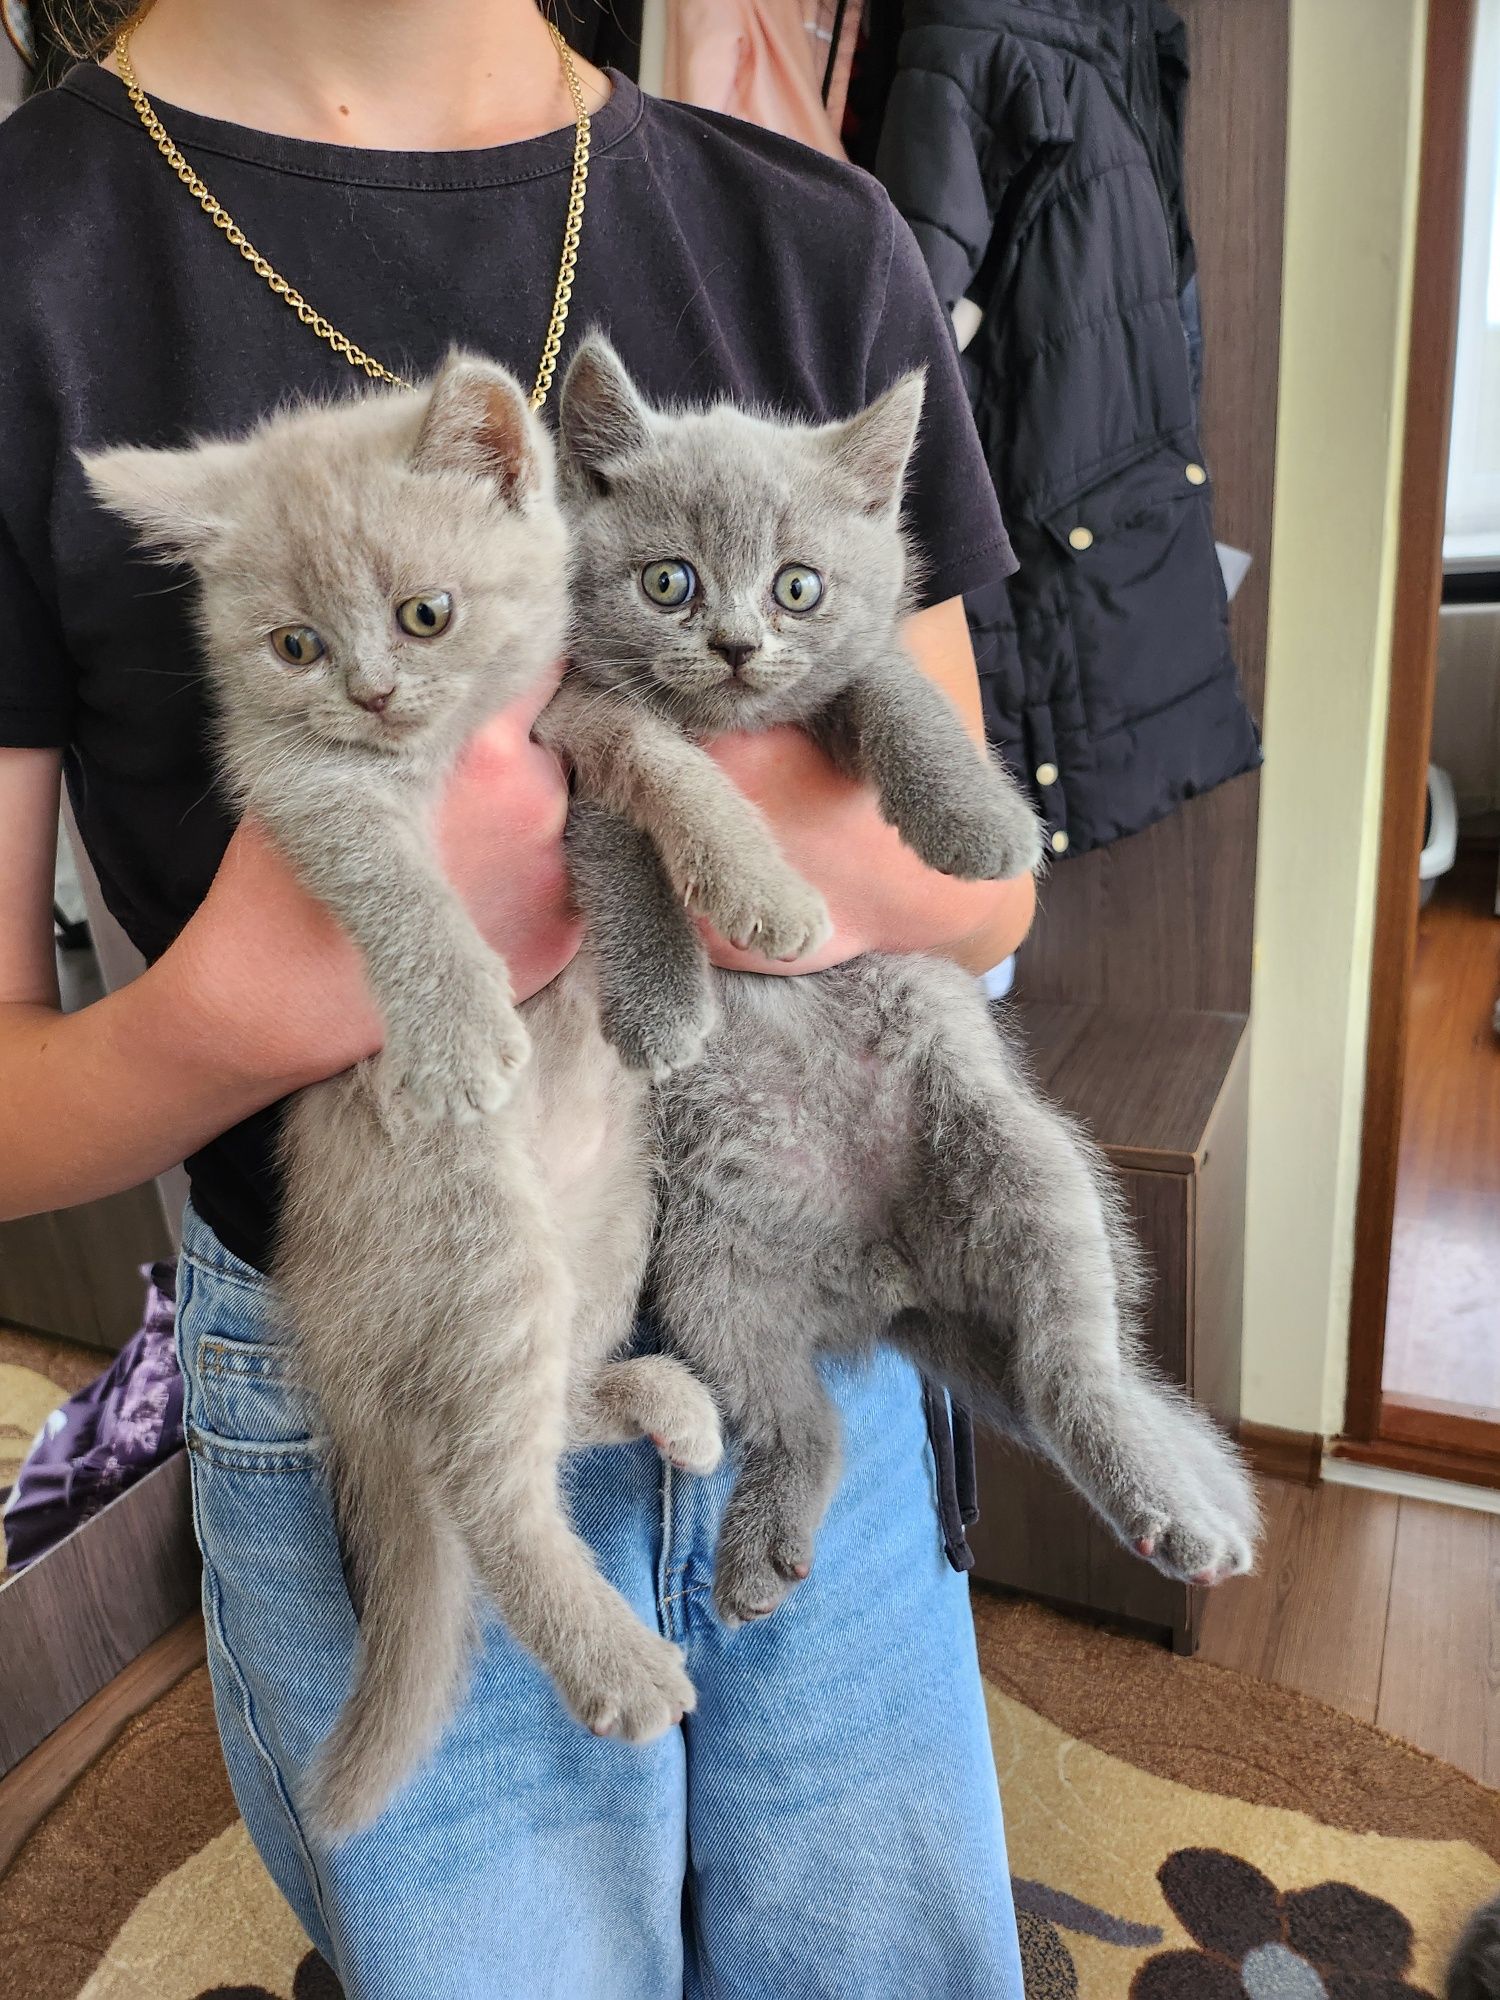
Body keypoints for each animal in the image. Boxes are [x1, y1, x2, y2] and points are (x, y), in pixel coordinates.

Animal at [548, 336, 1264, 1632]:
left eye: (797, 588)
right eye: (670, 581)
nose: (736, 644)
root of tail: (888, 1277)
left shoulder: (855, 678)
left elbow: (891, 691)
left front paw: (981, 823)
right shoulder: (580, 754)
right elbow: (623, 854)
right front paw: (663, 1005)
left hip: (1025, 1167)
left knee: (1075, 1373)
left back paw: (1161, 1505)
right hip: (711, 1273)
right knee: (802, 1420)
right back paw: (760, 1553)